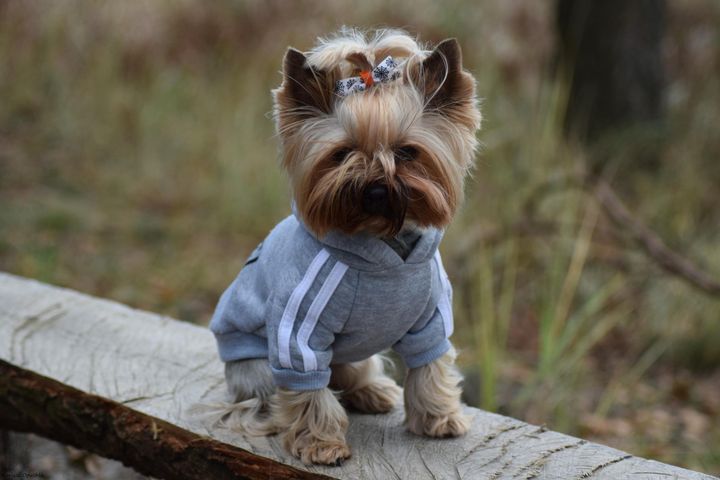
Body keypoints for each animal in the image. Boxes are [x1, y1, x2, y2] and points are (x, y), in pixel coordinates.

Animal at [208, 29, 478, 464]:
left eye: (407, 152)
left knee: (352, 371)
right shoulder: (298, 330)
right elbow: (307, 388)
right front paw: (321, 444)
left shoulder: (431, 316)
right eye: (341, 154)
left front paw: (439, 418)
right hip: (252, 365)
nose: (375, 188)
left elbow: (430, 363)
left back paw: (371, 391)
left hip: (354, 352)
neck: (381, 238)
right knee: (270, 393)